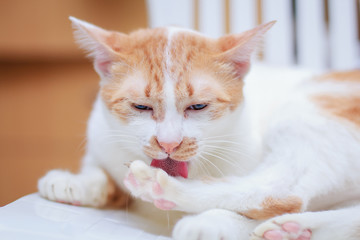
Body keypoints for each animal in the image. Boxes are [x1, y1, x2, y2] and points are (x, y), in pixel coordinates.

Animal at [37, 17, 360, 240]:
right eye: (141, 107)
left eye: (198, 107)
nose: (168, 143)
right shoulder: (102, 141)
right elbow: (98, 169)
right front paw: (77, 182)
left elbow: (262, 209)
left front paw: (214, 222)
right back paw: (296, 229)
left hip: (307, 109)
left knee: (283, 190)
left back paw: (165, 189)